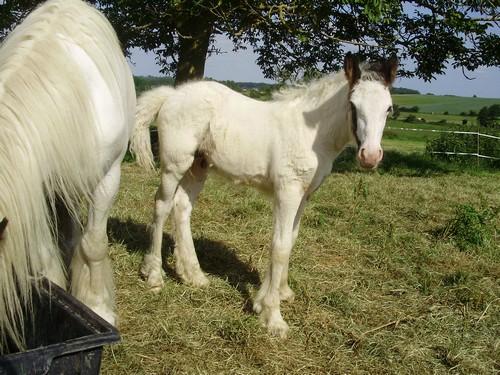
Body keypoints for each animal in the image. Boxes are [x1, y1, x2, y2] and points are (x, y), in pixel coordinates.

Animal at [131, 54, 396, 340]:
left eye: (389, 109)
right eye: (353, 104)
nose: (370, 156)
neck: (310, 135)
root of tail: (171, 95)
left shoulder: (304, 195)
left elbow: (290, 239)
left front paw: (277, 294)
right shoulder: (287, 192)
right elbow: (279, 247)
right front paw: (272, 315)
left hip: (198, 166)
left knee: (182, 207)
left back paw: (193, 274)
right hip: (174, 165)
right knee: (161, 206)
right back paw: (154, 276)